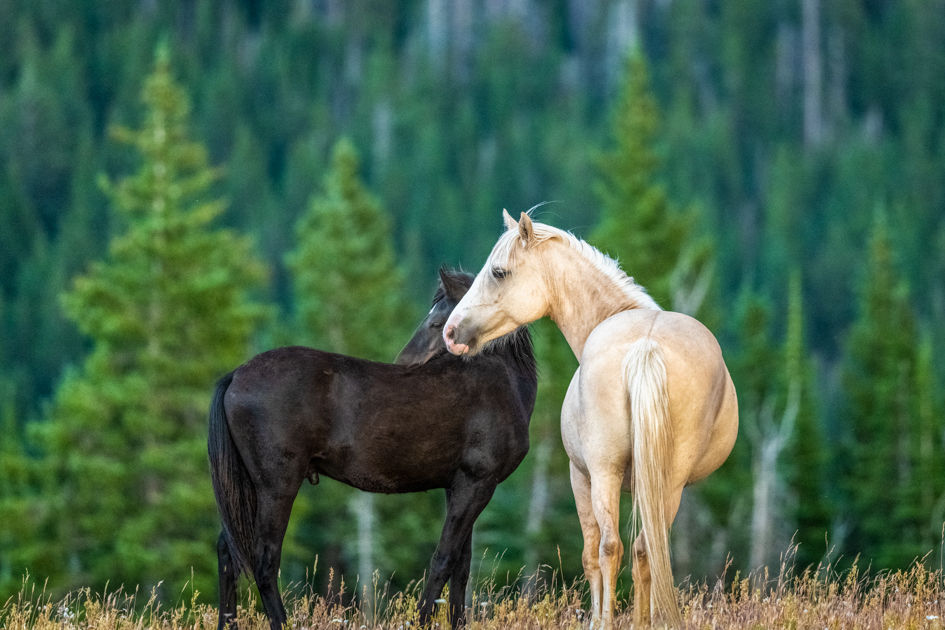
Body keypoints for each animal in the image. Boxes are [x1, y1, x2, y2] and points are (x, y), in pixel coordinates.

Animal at [208, 268, 537, 630]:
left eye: (438, 322)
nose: (404, 364)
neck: (501, 378)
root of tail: (236, 375)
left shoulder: (461, 486)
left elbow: (460, 569)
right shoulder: (476, 484)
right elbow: (444, 559)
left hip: (246, 489)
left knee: (227, 552)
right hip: (275, 488)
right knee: (264, 561)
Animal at [442, 211, 738, 629]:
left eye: (499, 272)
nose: (451, 333)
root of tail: (646, 346)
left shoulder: (579, 475)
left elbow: (591, 553)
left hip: (603, 473)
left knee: (611, 547)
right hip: (668, 482)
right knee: (647, 549)